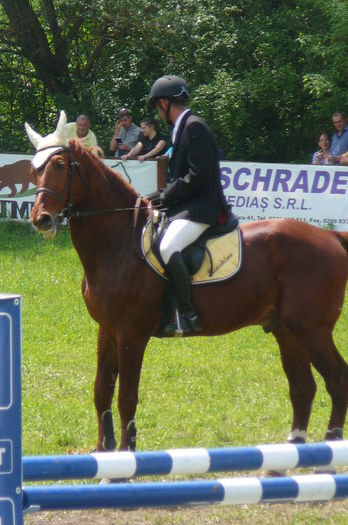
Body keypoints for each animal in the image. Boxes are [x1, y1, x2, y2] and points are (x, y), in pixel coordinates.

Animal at [29, 142, 348, 450]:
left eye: (60, 166)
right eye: (35, 171)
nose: (40, 219)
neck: (119, 243)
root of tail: (331, 236)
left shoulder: (132, 335)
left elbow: (126, 397)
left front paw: (125, 452)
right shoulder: (107, 329)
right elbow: (102, 390)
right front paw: (103, 449)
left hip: (312, 330)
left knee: (337, 379)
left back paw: (330, 441)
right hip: (286, 330)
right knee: (303, 387)